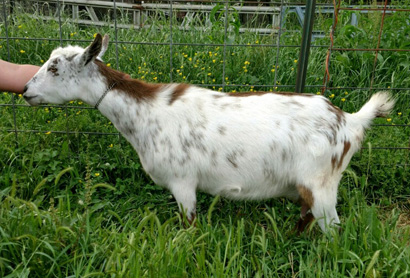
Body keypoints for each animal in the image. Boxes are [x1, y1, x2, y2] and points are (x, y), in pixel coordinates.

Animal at [22, 34, 394, 232]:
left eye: (54, 68)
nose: (25, 90)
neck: (146, 114)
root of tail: (349, 121)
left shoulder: (183, 182)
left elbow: (189, 225)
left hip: (322, 183)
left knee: (333, 230)